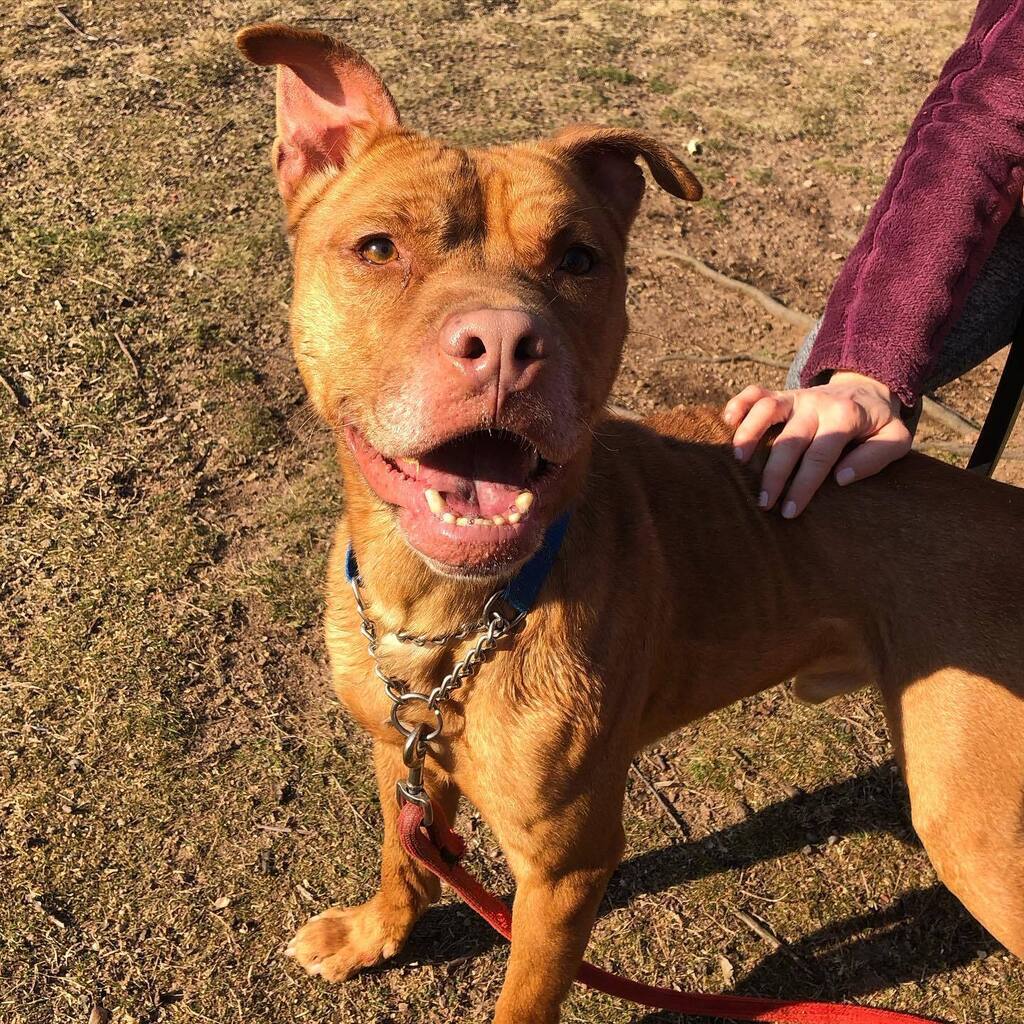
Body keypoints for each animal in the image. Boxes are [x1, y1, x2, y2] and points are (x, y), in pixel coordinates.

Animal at [234, 24, 1024, 1024]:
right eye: (377, 247)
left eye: (579, 260)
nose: (504, 344)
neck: (449, 615)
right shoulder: (397, 749)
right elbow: (402, 857)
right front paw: (378, 931)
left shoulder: (567, 868)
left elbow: (523, 999)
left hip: (980, 838)